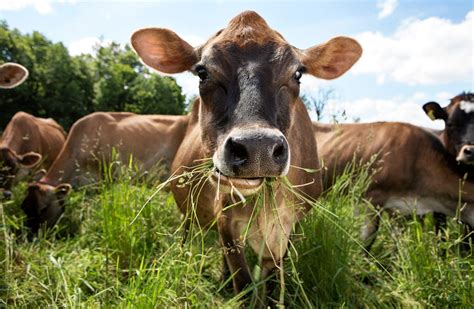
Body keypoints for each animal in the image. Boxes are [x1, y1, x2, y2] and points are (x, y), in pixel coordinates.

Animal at [131, 9, 362, 298]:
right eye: (202, 72)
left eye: (298, 73)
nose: (257, 147)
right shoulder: (226, 219)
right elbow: (242, 280)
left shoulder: (290, 228)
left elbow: (270, 284)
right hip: (186, 210)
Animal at [314, 91, 474, 250]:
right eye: (450, 124)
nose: (470, 150)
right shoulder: (371, 200)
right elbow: (367, 241)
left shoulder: (399, 210)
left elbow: (398, 247)